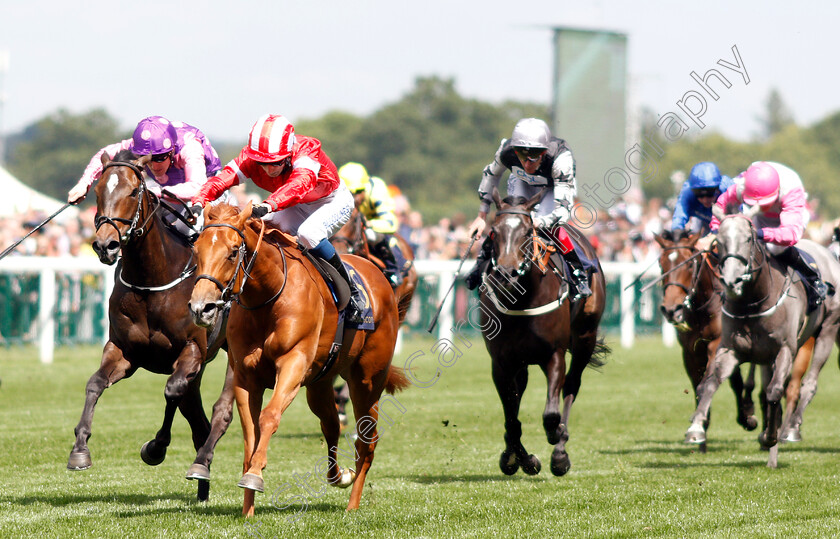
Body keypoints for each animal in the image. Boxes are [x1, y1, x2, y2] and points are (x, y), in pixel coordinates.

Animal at [68, 149, 231, 502]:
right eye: (97, 191)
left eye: (133, 192)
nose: (106, 245)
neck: (152, 282)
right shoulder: (123, 351)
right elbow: (94, 384)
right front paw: (80, 450)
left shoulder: (191, 351)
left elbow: (171, 390)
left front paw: (155, 447)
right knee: (198, 423)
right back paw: (202, 488)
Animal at [188, 205, 410, 516]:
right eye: (196, 250)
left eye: (233, 252)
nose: (201, 308)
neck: (268, 296)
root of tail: (380, 279)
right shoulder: (246, 377)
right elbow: (250, 431)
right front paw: (247, 507)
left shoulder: (292, 364)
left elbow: (269, 417)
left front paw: (254, 476)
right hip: (320, 384)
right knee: (331, 424)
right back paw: (340, 476)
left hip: (367, 381)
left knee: (367, 442)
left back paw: (352, 505)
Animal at [476, 192, 608, 478]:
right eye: (493, 232)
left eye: (527, 232)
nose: (506, 274)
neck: (521, 301)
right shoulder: (501, 363)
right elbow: (512, 417)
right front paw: (518, 459)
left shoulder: (554, 354)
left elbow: (550, 414)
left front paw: (555, 440)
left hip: (585, 337)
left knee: (572, 385)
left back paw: (560, 450)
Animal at [652, 230, 756, 454]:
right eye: (661, 264)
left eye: (689, 265)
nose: (671, 309)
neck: (704, 308)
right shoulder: (690, 352)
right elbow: (700, 387)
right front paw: (700, 432)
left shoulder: (717, 345)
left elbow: (707, 383)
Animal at [684, 207, 840, 468]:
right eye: (719, 242)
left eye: (748, 239)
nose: (732, 280)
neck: (753, 301)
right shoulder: (729, 349)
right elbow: (710, 384)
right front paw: (696, 429)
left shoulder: (785, 349)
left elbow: (774, 392)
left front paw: (770, 437)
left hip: (827, 331)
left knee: (808, 384)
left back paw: (791, 429)